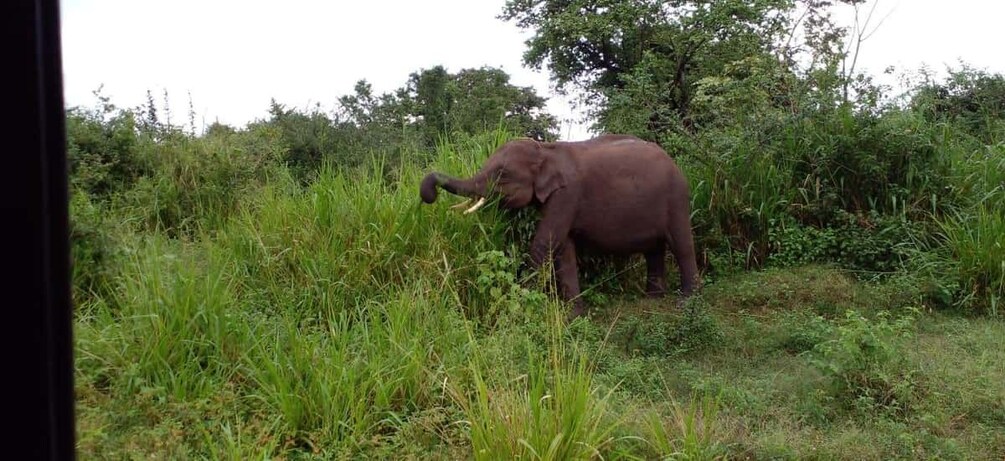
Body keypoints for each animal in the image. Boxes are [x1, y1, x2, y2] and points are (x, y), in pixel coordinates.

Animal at [419, 134, 700, 320]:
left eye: (502, 174)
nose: (429, 196)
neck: (546, 149)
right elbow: (563, 249)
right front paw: (575, 314)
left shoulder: (567, 195)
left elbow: (545, 243)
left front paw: (519, 307)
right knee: (654, 249)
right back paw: (653, 299)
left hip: (676, 196)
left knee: (681, 244)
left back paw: (687, 303)